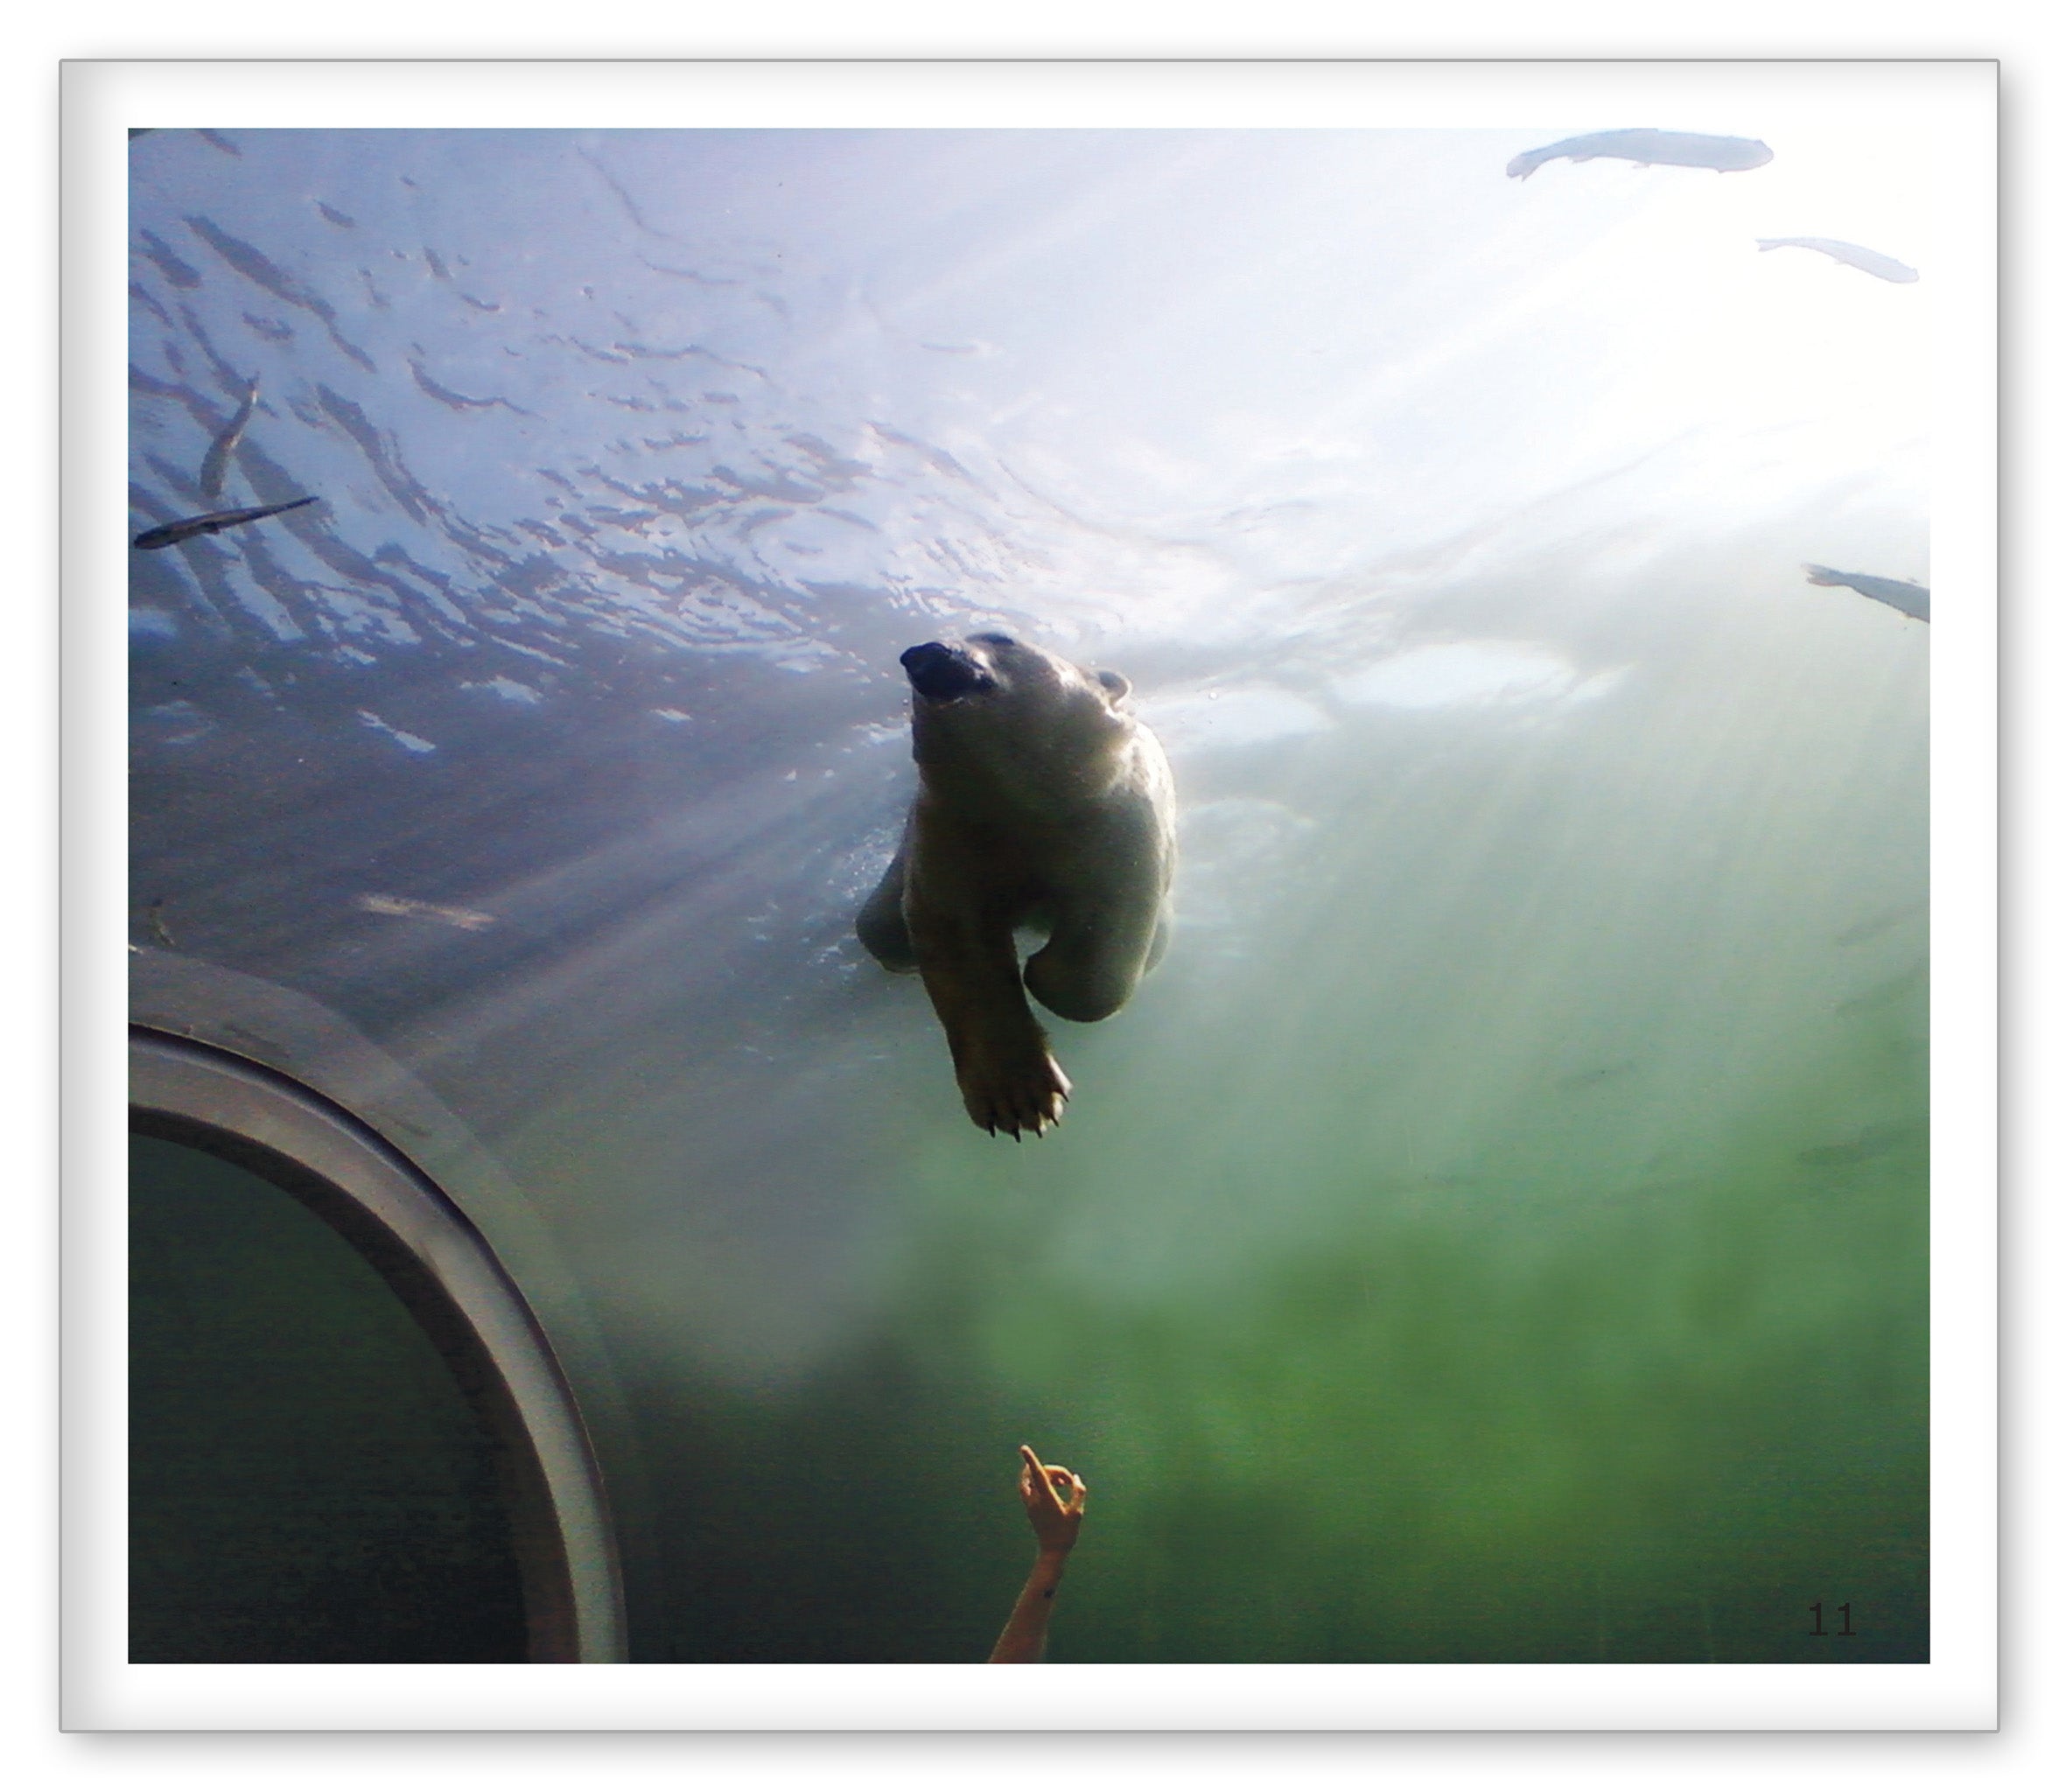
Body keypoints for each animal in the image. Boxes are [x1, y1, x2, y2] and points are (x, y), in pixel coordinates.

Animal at [857, 632, 1176, 1138]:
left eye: (1000, 638)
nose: (924, 653)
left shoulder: (1118, 821)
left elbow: (1099, 958)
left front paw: (1044, 973)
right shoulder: (952, 828)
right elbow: (957, 938)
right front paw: (1019, 1099)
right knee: (881, 928)